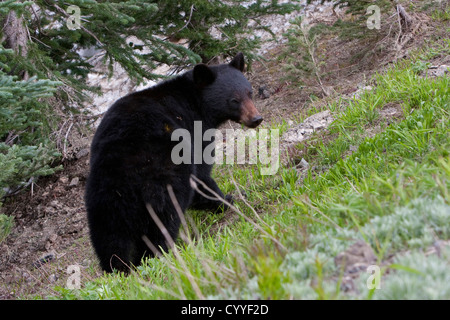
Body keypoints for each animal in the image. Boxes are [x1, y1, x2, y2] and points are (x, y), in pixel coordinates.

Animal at [85, 52, 264, 272]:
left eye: (250, 92)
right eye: (234, 100)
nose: (256, 118)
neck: (194, 101)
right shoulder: (194, 134)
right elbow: (201, 175)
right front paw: (226, 199)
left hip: (103, 202)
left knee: (109, 240)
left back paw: (119, 267)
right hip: (161, 180)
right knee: (165, 219)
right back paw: (162, 253)